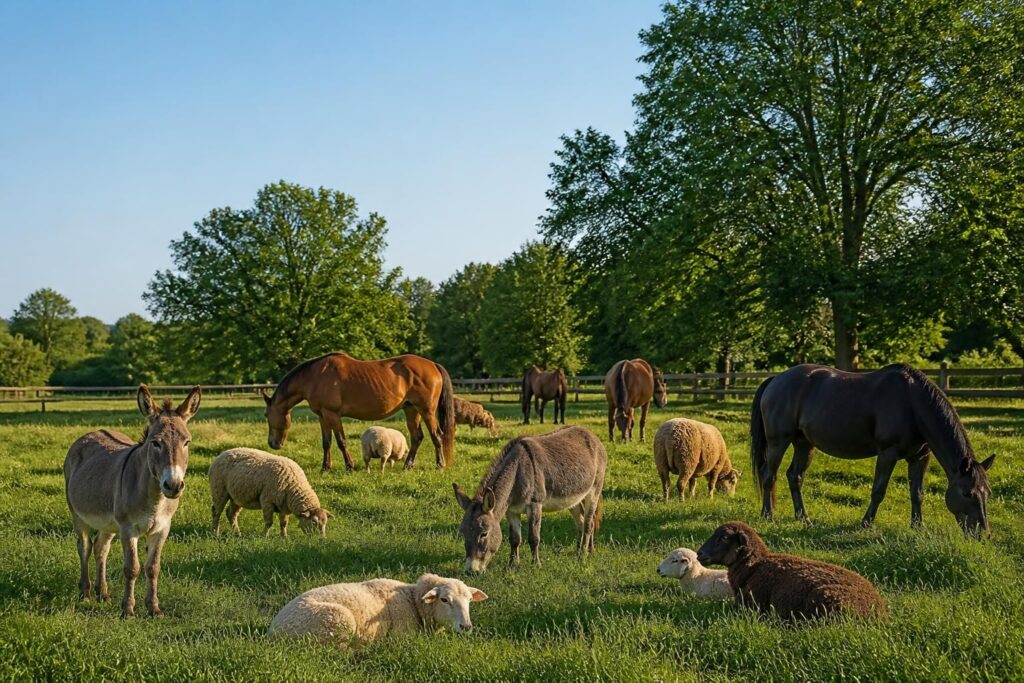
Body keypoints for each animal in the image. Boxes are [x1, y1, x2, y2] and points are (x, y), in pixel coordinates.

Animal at [63, 385, 202, 617]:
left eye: (187, 442)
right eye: (155, 443)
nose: (173, 485)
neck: (155, 500)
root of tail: (91, 433)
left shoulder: (162, 529)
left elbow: (153, 568)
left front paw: (154, 608)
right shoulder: (128, 529)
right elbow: (132, 569)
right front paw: (128, 610)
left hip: (108, 523)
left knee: (101, 548)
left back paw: (103, 593)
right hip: (78, 514)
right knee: (84, 547)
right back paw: (86, 593)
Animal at [263, 352, 455, 472]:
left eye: (266, 415)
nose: (273, 444)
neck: (314, 377)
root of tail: (433, 365)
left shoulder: (332, 415)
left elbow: (341, 441)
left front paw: (350, 466)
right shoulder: (323, 416)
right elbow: (327, 443)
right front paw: (325, 467)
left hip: (426, 411)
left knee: (436, 435)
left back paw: (440, 465)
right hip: (411, 409)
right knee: (417, 437)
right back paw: (407, 466)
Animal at [269, 573, 488, 648]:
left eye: (469, 600)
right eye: (444, 600)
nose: (466, 627)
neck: (413, 600)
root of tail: (274, 630)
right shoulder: (402, 636)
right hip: (337, 622)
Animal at [452, 426, 607, 573]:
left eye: (484, 534)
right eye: (463, 534)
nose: (471, 571)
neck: (516, 472)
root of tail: (591, 434)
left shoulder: (535, 505)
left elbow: (534, 538)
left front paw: (536, 565)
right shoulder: (511, 511)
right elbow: (515, 539)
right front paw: (512, 565)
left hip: (594, 490)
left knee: (588, 523)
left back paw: (583, 555)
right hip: (572, 498)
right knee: (582, 522)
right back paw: (584, 551)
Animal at [751, 363, 995, 534]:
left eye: (987, 493)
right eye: (967, 493)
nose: (983, 533)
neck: (912, 403)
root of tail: (776, 379)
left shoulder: (920, 457)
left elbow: (917, 493)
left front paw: (918, 526)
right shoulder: (888, 453)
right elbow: (878, 491)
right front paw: (866, 523)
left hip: (804, 444)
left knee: (795, 477)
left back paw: (803, 518)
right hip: (778, 442)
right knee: (769, 476)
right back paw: (768, 516)